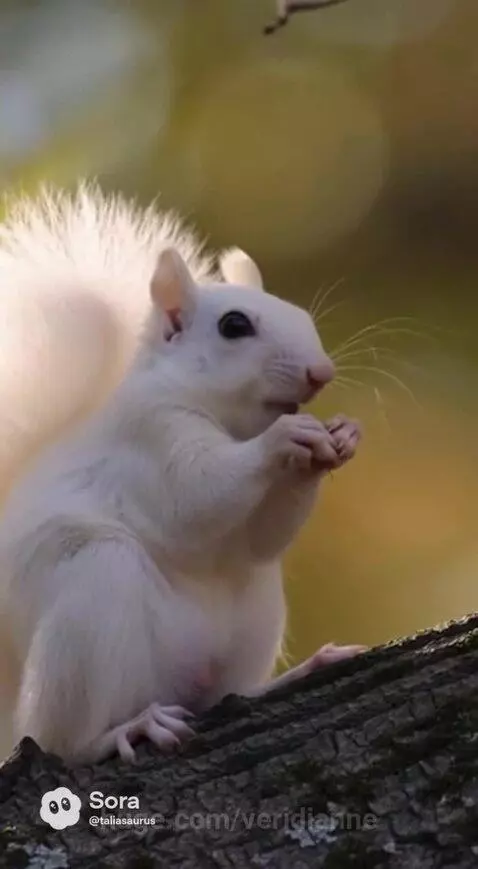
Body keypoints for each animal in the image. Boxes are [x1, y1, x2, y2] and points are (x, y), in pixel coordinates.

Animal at [0, 183, 364, 765]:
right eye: (234, 326)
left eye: (301, 315)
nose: (321, 372)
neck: (229, 423)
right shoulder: (151, 435)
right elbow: (197, 495)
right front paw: (286, 438)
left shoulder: (253, 540)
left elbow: (262, 539)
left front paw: (341, 436)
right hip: (93, 595)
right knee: (63, 741)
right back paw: (126, 731)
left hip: (253, 614)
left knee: (226, 692)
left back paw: (302, 671)